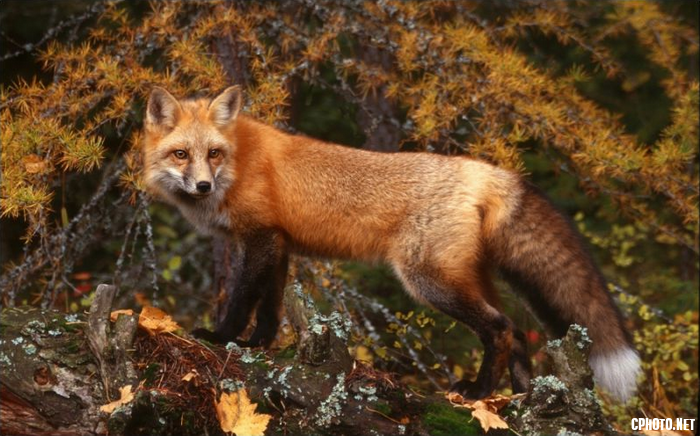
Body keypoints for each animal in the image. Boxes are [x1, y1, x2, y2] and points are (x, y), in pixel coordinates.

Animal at [142, 85, 641, 402]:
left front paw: (223, 337)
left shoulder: (260, 238)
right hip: (468, 278)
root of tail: (482, 169)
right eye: (181, 154)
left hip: (429, 281)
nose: (203, 186)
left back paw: (478, 392)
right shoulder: (279, 243)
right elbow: (271, 307)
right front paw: (259, 344)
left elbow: (243, 299)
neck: (240, 162)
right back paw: (517, 400)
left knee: (500, 329)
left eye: (214, 154)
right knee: (518, 333)